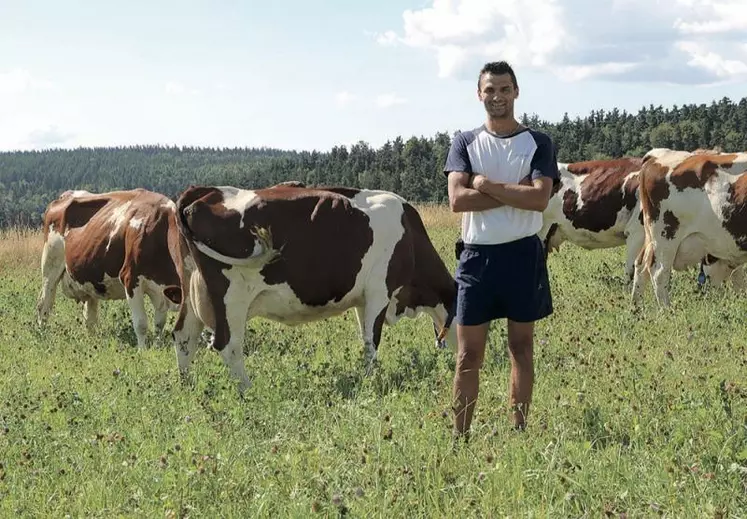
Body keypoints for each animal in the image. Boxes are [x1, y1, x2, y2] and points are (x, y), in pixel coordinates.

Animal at [35, 187, 188, 346]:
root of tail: (65, 195)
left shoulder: (161, 289)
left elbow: (159, 324)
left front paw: (157, 346)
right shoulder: (130, 279)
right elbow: (141, 324)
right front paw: (143, 349)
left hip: (90, 277)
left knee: (89, 317)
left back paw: (92, 340)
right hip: (50, 265)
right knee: (44, 304)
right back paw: (42, 334)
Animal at [163, 185, 456, 392]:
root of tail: (204, 190)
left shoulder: (363, 300)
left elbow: (365, 340)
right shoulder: (378, 292)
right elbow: (372, 341)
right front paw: (372, 380)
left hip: (191, 291)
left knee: (184, 336)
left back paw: (187, 386)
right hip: (231, 297)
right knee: (228, 344)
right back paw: (247, 390)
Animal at [632, 148, 747, 306]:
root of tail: (657, 155)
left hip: (651, 237)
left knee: (640, 265)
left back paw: (636, 308)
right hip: (666, 236)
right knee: (659, 272)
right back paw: (666, 310)